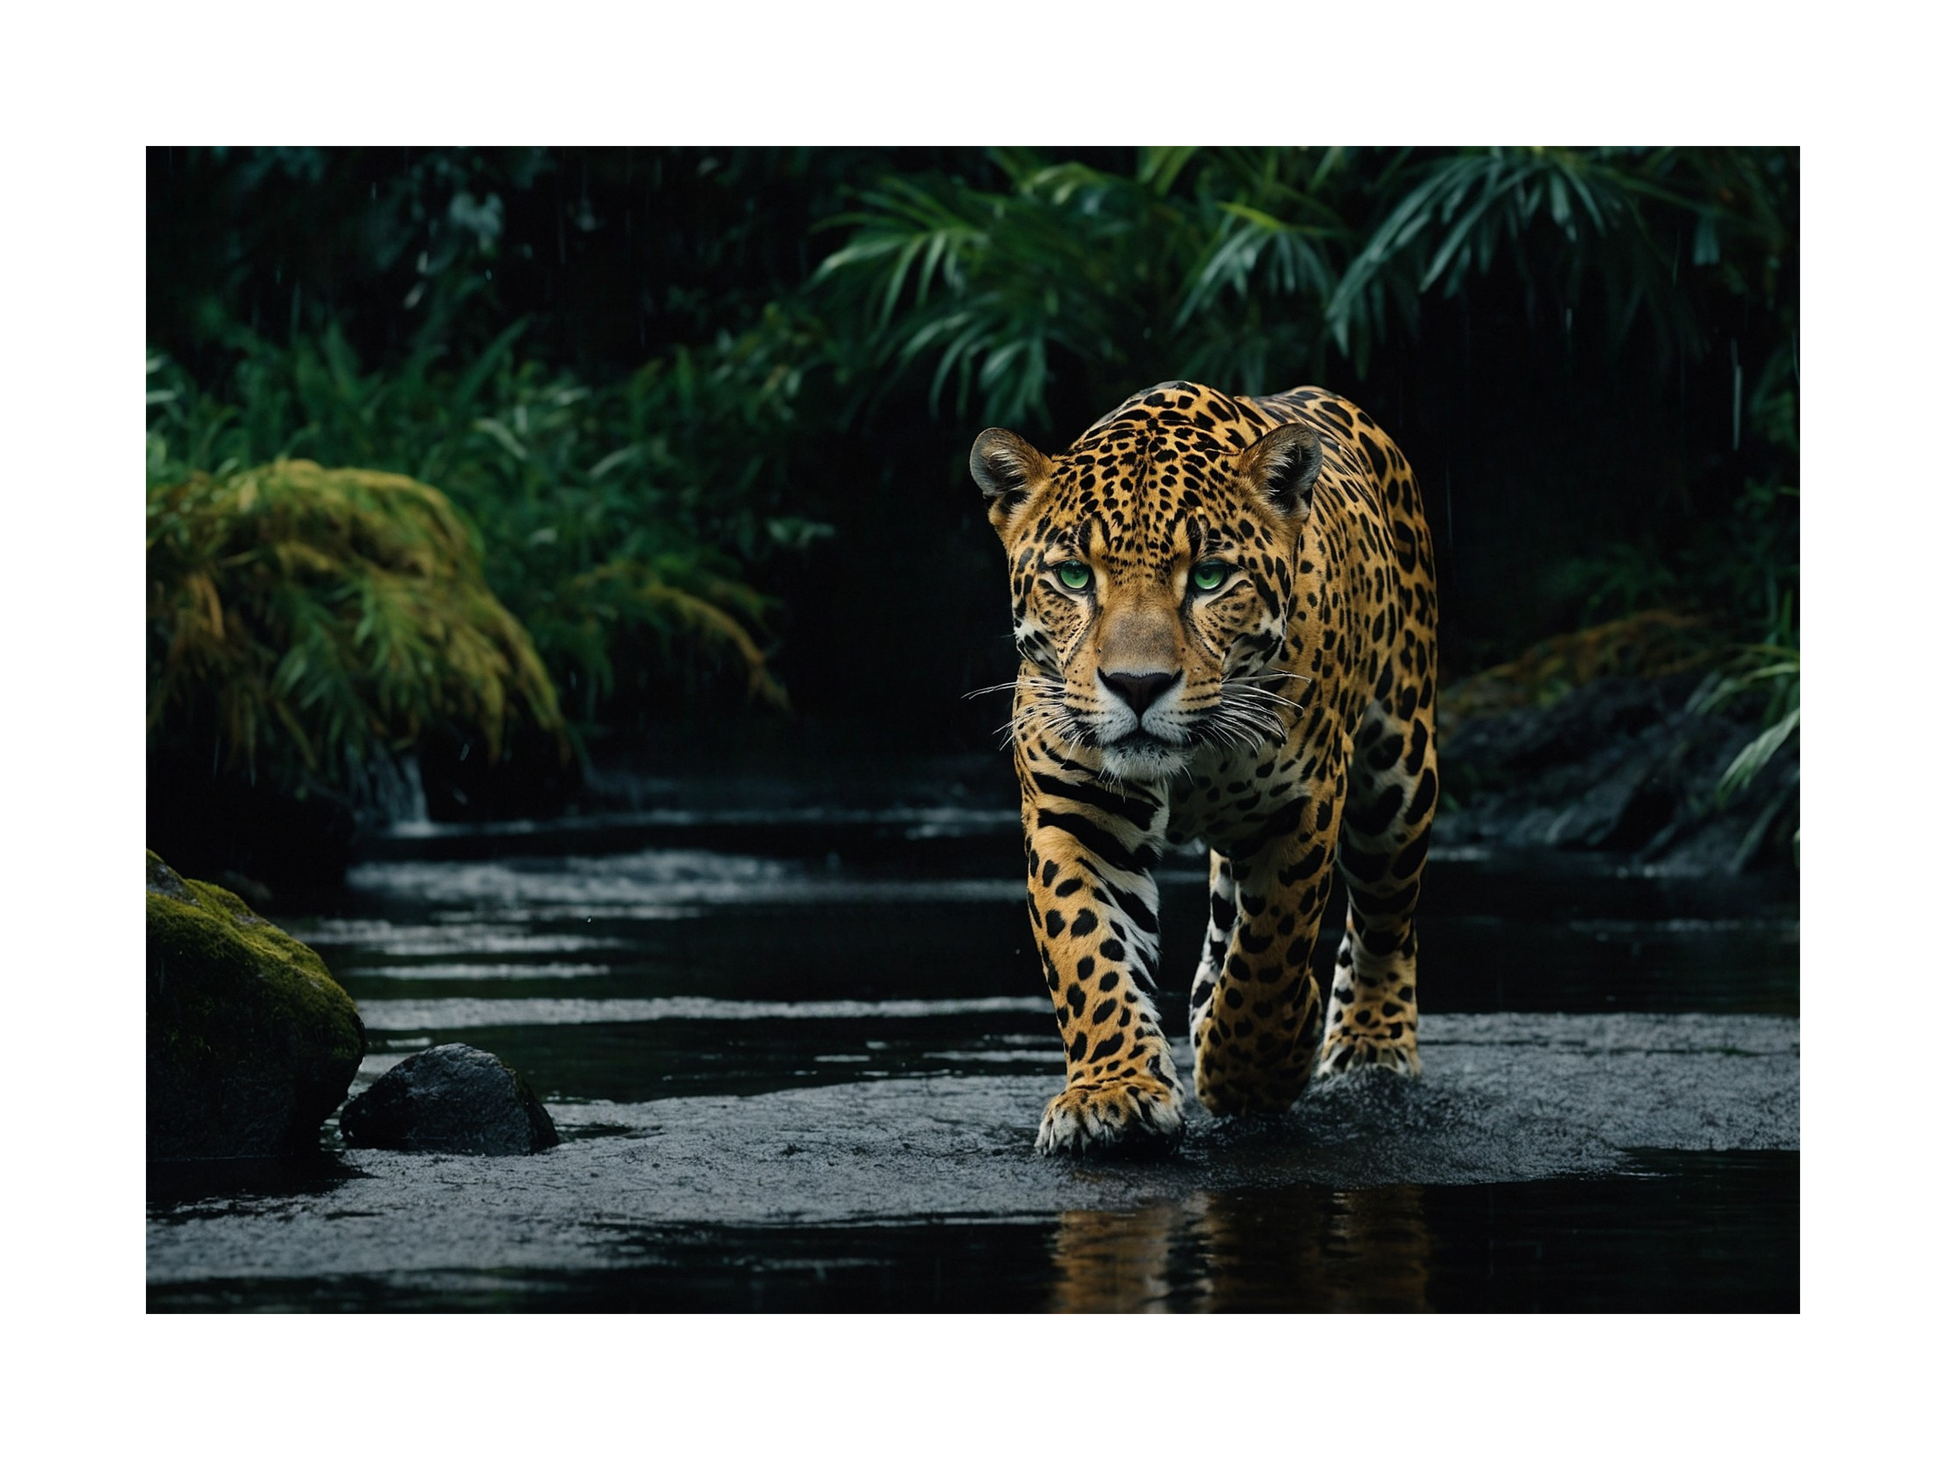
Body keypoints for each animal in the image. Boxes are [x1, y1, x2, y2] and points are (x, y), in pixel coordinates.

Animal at [970, 380, 1438, 1155]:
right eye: (1073, 576)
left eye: (1212, 578)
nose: (1137, 685)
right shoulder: (1075, 813)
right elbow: (1088, 952)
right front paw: (1114, 1093)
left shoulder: (1302, 804)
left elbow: (1271, 950)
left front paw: (1251, 1067)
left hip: (1397, 776)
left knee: (1384, 920)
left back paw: (1370, 1047)